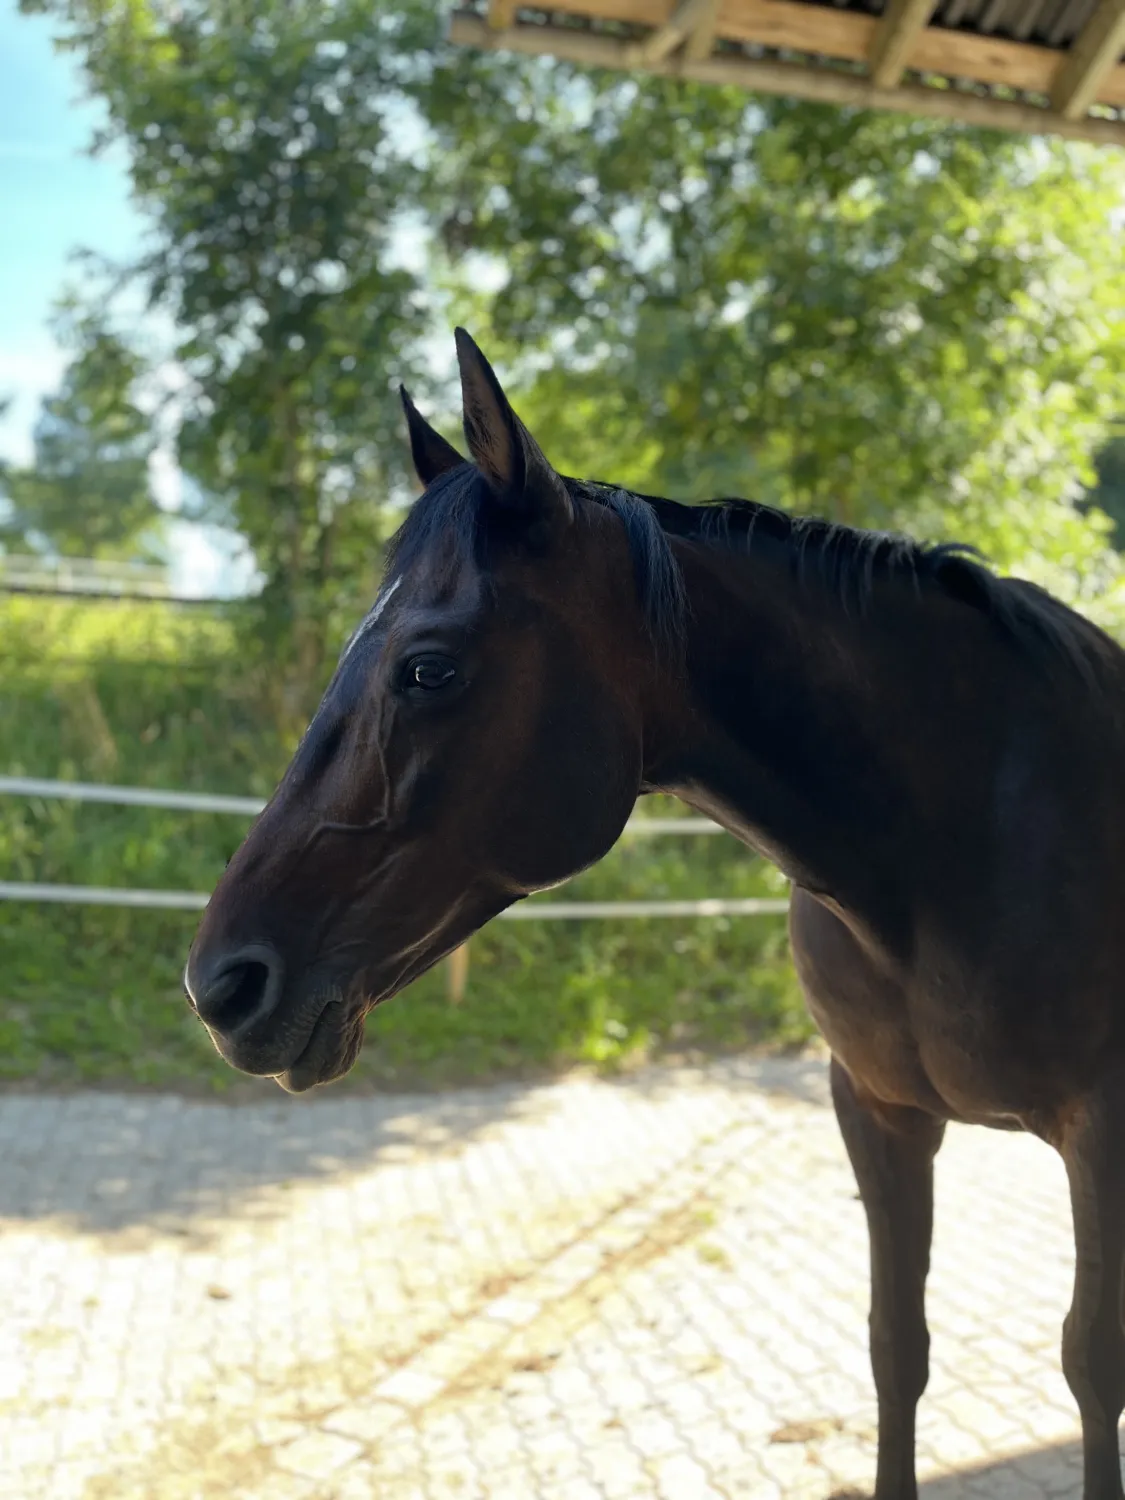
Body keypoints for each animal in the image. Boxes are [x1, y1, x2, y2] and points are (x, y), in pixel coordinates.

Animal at [185, 330, 1125, 1499]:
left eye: (427, 668)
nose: (223, 984)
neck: (962, 838)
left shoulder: (1102, 1130)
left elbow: (1091, 1365)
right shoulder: (877, 1111)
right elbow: (894, 1344)